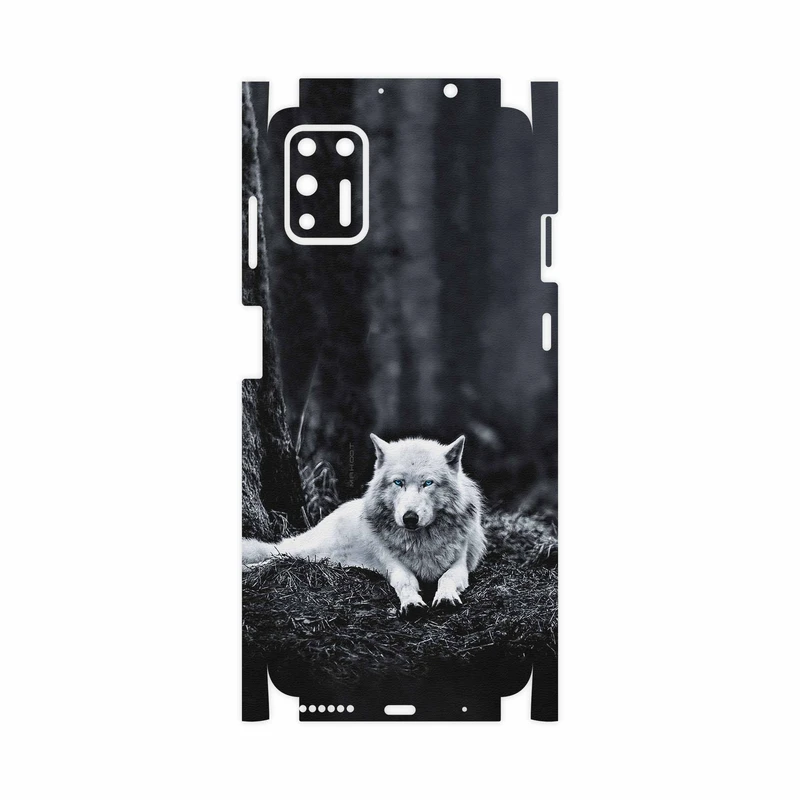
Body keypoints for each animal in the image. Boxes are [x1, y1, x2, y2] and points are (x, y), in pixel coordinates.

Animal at [242, 434, 486, 618]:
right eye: (398, 482)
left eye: (428, 483)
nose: (409, 517)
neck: (420, 541)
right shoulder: (393, 564)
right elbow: (405, 582)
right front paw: (411, 603)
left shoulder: (460, 564)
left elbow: (447, 578)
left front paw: (445, 597)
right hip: (308, 551)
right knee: (277, 555)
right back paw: (250, 568)